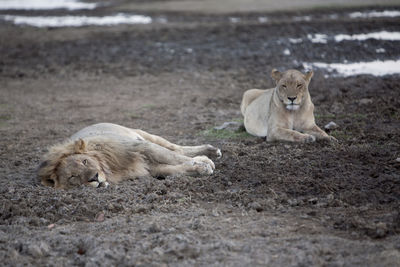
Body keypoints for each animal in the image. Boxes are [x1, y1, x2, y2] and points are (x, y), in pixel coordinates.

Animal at [37, 122, 222, 189]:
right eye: (72, 177)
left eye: (85, 161)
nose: (94, 177)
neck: (109, 167)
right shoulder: (149, 168)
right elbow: (176, 168)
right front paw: (199, 167)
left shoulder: (141, 147)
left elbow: (174, 157)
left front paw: (205, 165)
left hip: (145, 135)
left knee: (177, 149)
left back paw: (210, 152)